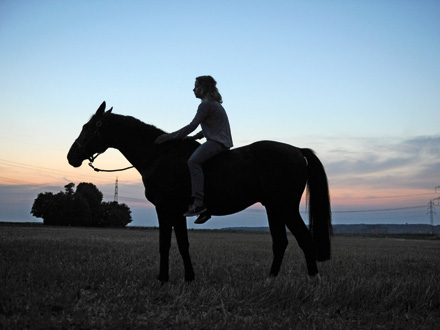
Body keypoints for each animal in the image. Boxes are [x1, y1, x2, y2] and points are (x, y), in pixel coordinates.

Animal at [67, 102, 332, 282]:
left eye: (89, 127)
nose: (71, 156)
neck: (158, 156)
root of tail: (297, 151)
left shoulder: (165, 209)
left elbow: (166, 244)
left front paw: (163, 279)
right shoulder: (176, 212)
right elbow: (181, 244)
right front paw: (188, 278)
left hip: (285, 207)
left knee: (303, 238)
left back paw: (313, 281)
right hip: (274, 208)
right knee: (281, 242)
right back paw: (270, 280)